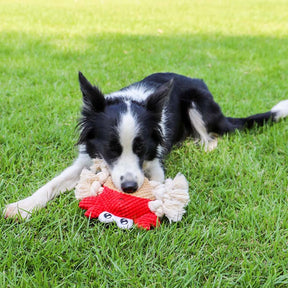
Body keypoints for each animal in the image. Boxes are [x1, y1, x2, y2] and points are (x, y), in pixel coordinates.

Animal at [3, 72, 288, 218]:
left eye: (140, 148)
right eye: (111, 149)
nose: (130, 188)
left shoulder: (154, 162)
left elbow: (158, 187)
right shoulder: (87, 158)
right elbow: (51, 184)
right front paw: (22, 206)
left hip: (197, 102)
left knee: (211, 136)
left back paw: (203, 146)